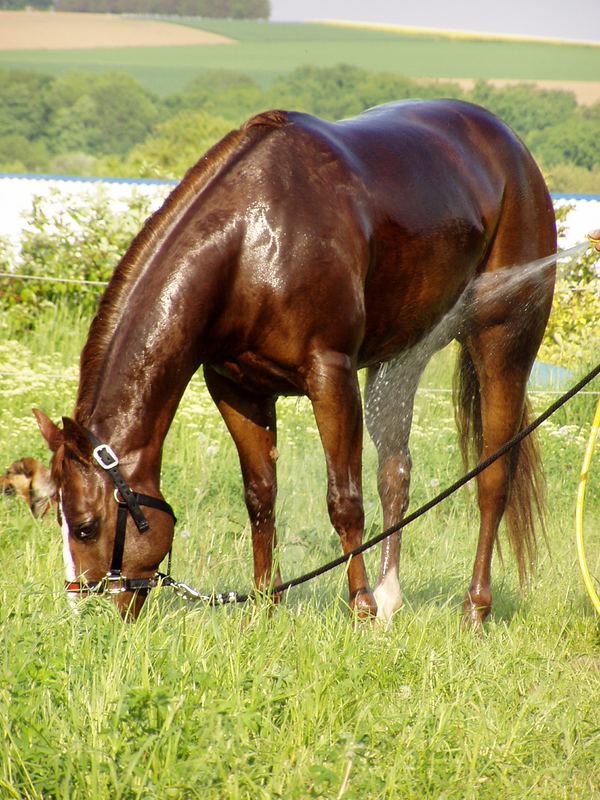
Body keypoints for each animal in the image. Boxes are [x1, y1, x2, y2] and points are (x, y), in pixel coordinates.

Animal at [35, 100, 556, 624]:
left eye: (84, 526)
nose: (88, 616)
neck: (249, 247)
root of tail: (514, 150)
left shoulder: (331, 377)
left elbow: (344, 501)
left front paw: (361, 609)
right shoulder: (238, 390)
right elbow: (260, 497)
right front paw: (266, 604)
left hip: (503, 342)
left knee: (493, 477)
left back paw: (474, 608)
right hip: (402, 359)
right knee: (396, 472)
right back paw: (391, 598)